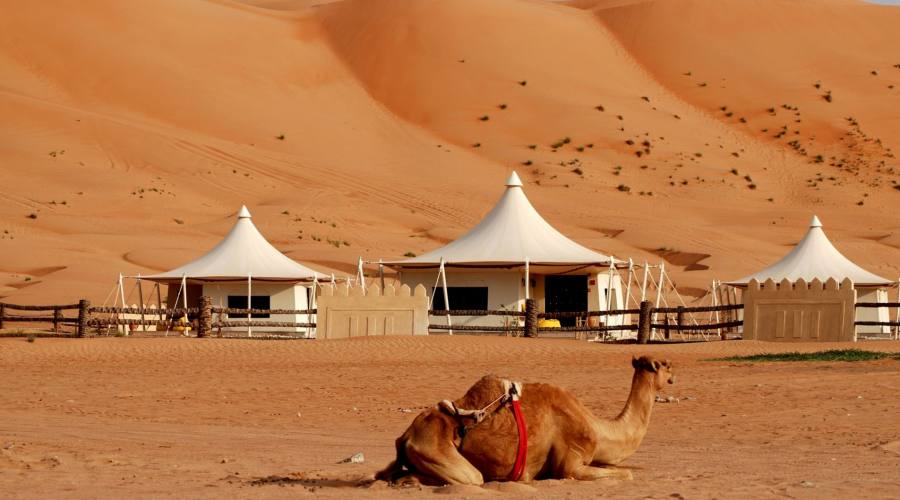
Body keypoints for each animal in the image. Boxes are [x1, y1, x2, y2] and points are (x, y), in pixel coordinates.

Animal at [374, 356, 676, 484]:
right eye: (665, 365)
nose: (674, 375)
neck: (599, 428)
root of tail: (406, 436)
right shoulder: (571, 461)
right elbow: (623, 473)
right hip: (441, 452)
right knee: (471, 478)